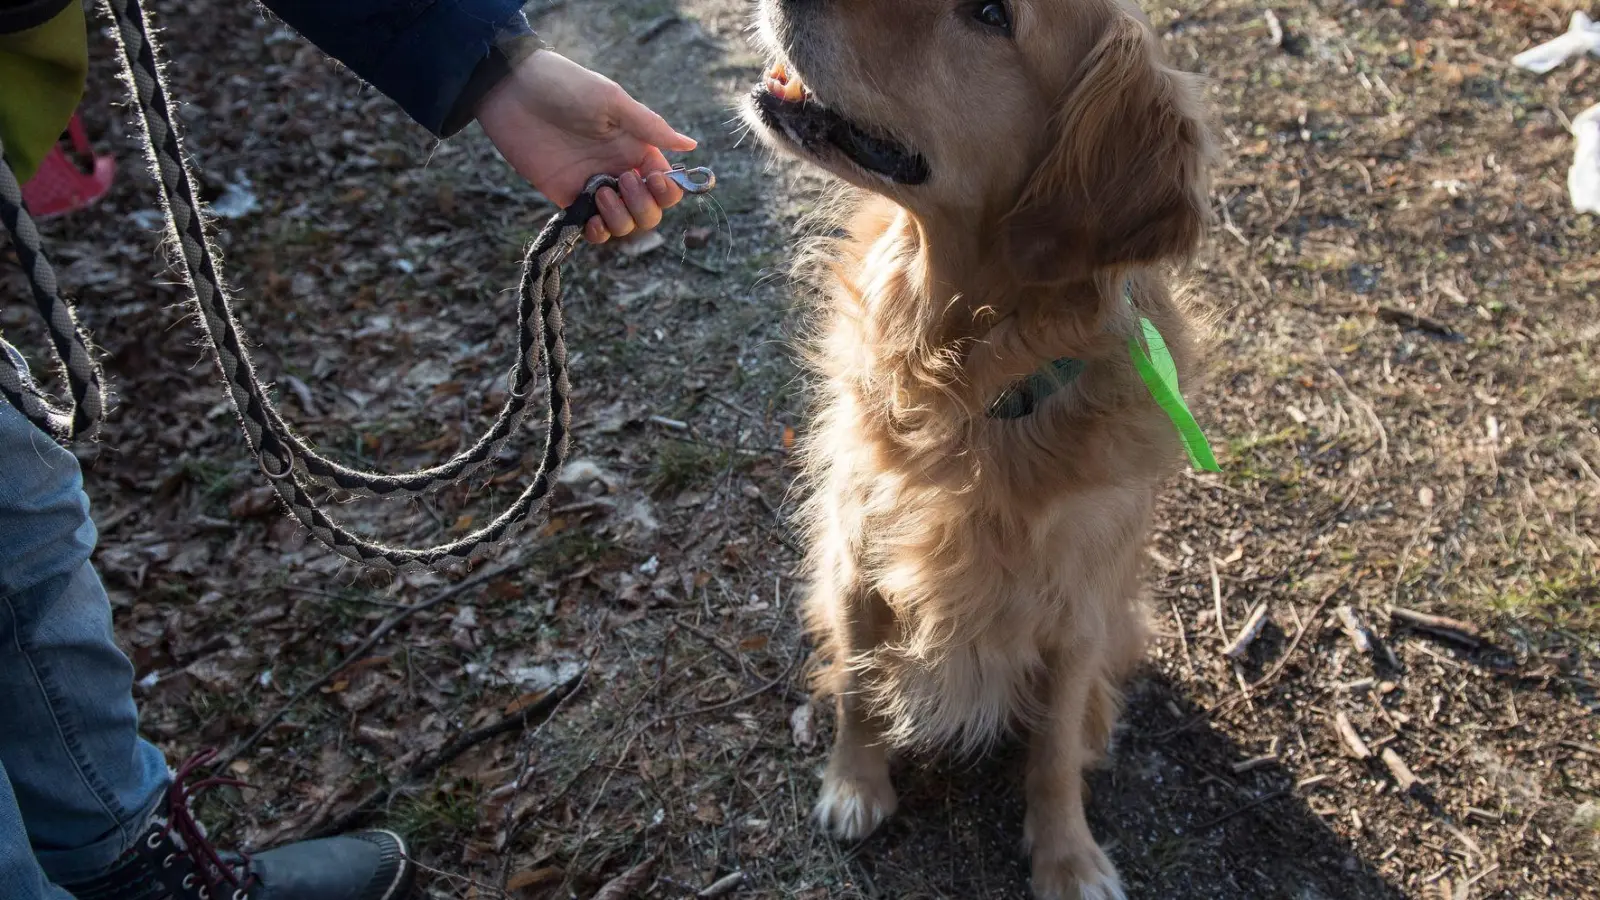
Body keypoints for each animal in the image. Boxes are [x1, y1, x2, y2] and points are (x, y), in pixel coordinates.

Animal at [742, 1, 1216, 896]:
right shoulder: (858, 558)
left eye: (992, 14)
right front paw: (854, 785)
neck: (971, 386)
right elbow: (859, 688)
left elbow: (1054, 748)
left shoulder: (1077, 609)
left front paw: (1068, 855)